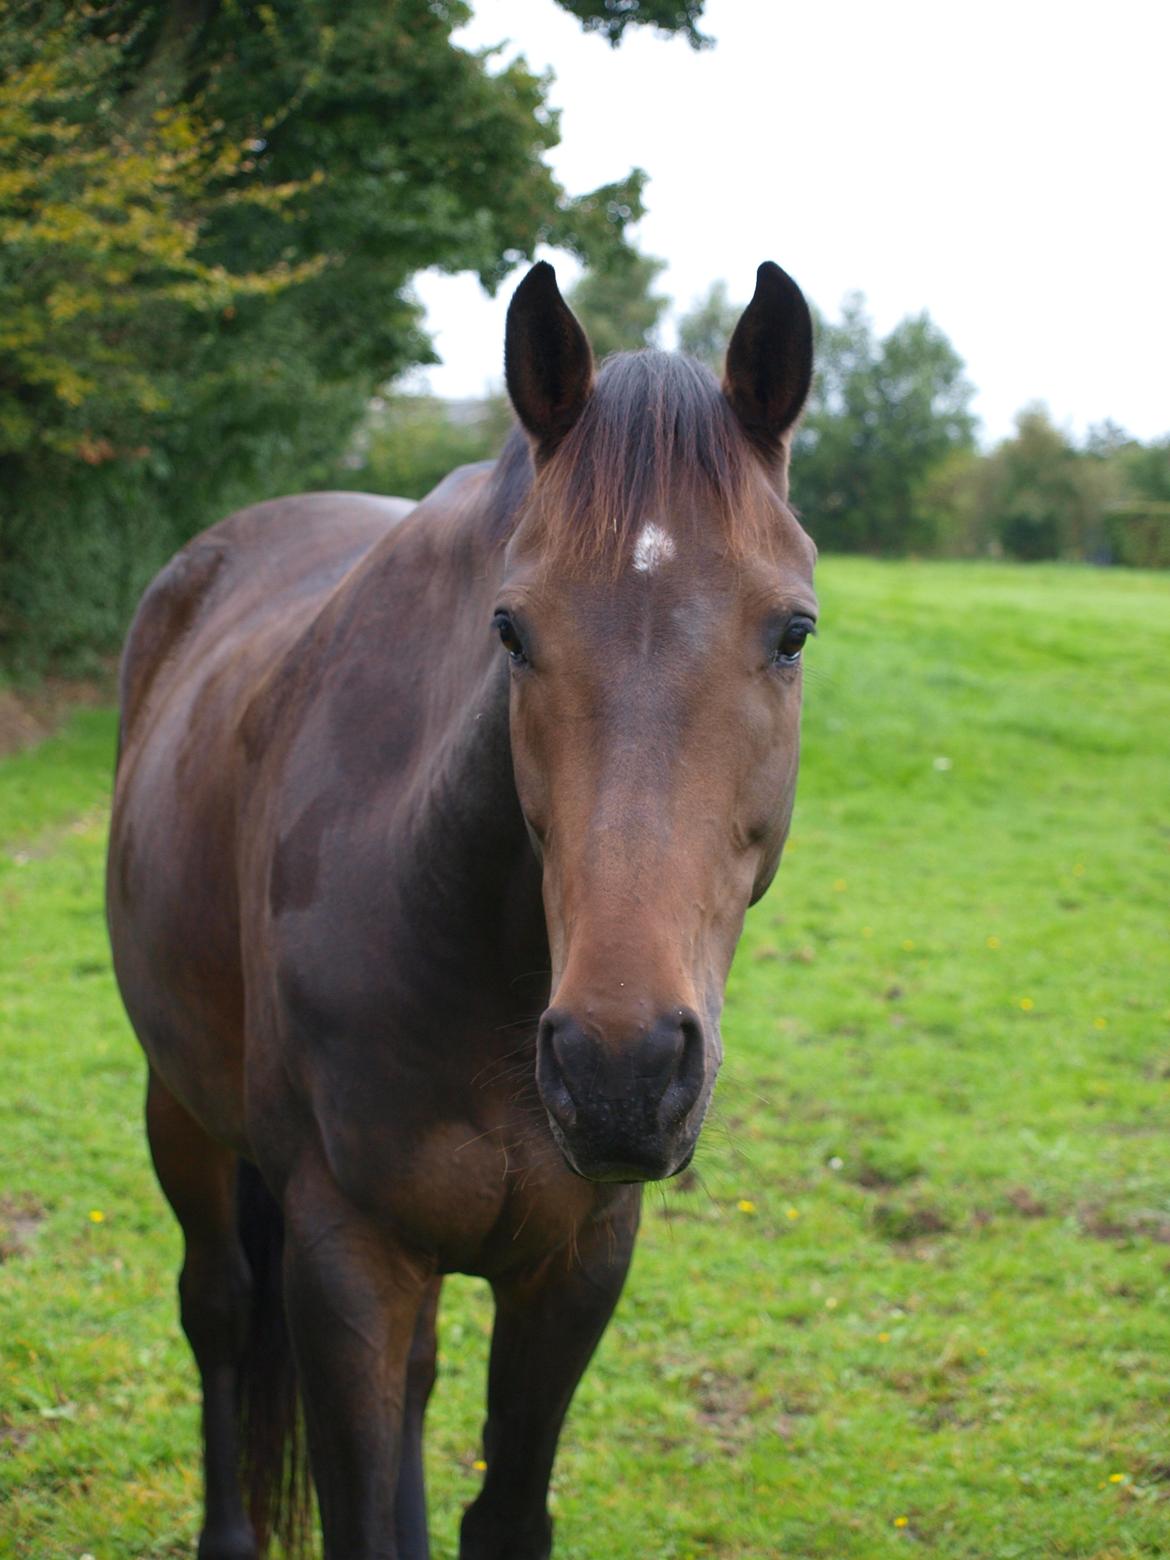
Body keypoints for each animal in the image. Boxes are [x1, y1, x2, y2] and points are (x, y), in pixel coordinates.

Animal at [107, 262, 817, 1553]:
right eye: (510, 628)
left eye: (792, 631)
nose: (620, 1071)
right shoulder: (343, 1251)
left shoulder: (577, 1263)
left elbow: (502, 1510)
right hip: (180, 1108)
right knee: (219, 1310)